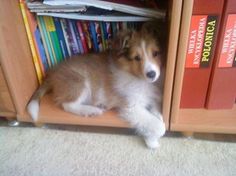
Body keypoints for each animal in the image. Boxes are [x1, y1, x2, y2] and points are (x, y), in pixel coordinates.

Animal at [27, 21, 167, 149]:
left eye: (155, 53)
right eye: (136, 57)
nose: (152, 74)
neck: (140, 80)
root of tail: (53, 73)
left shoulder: (153, 99)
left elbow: (158, 116)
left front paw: (150, 139)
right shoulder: (131, 106)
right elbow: (160, 126)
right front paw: (153, 141)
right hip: (79, 82)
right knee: (67, 104)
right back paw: (91, 110)